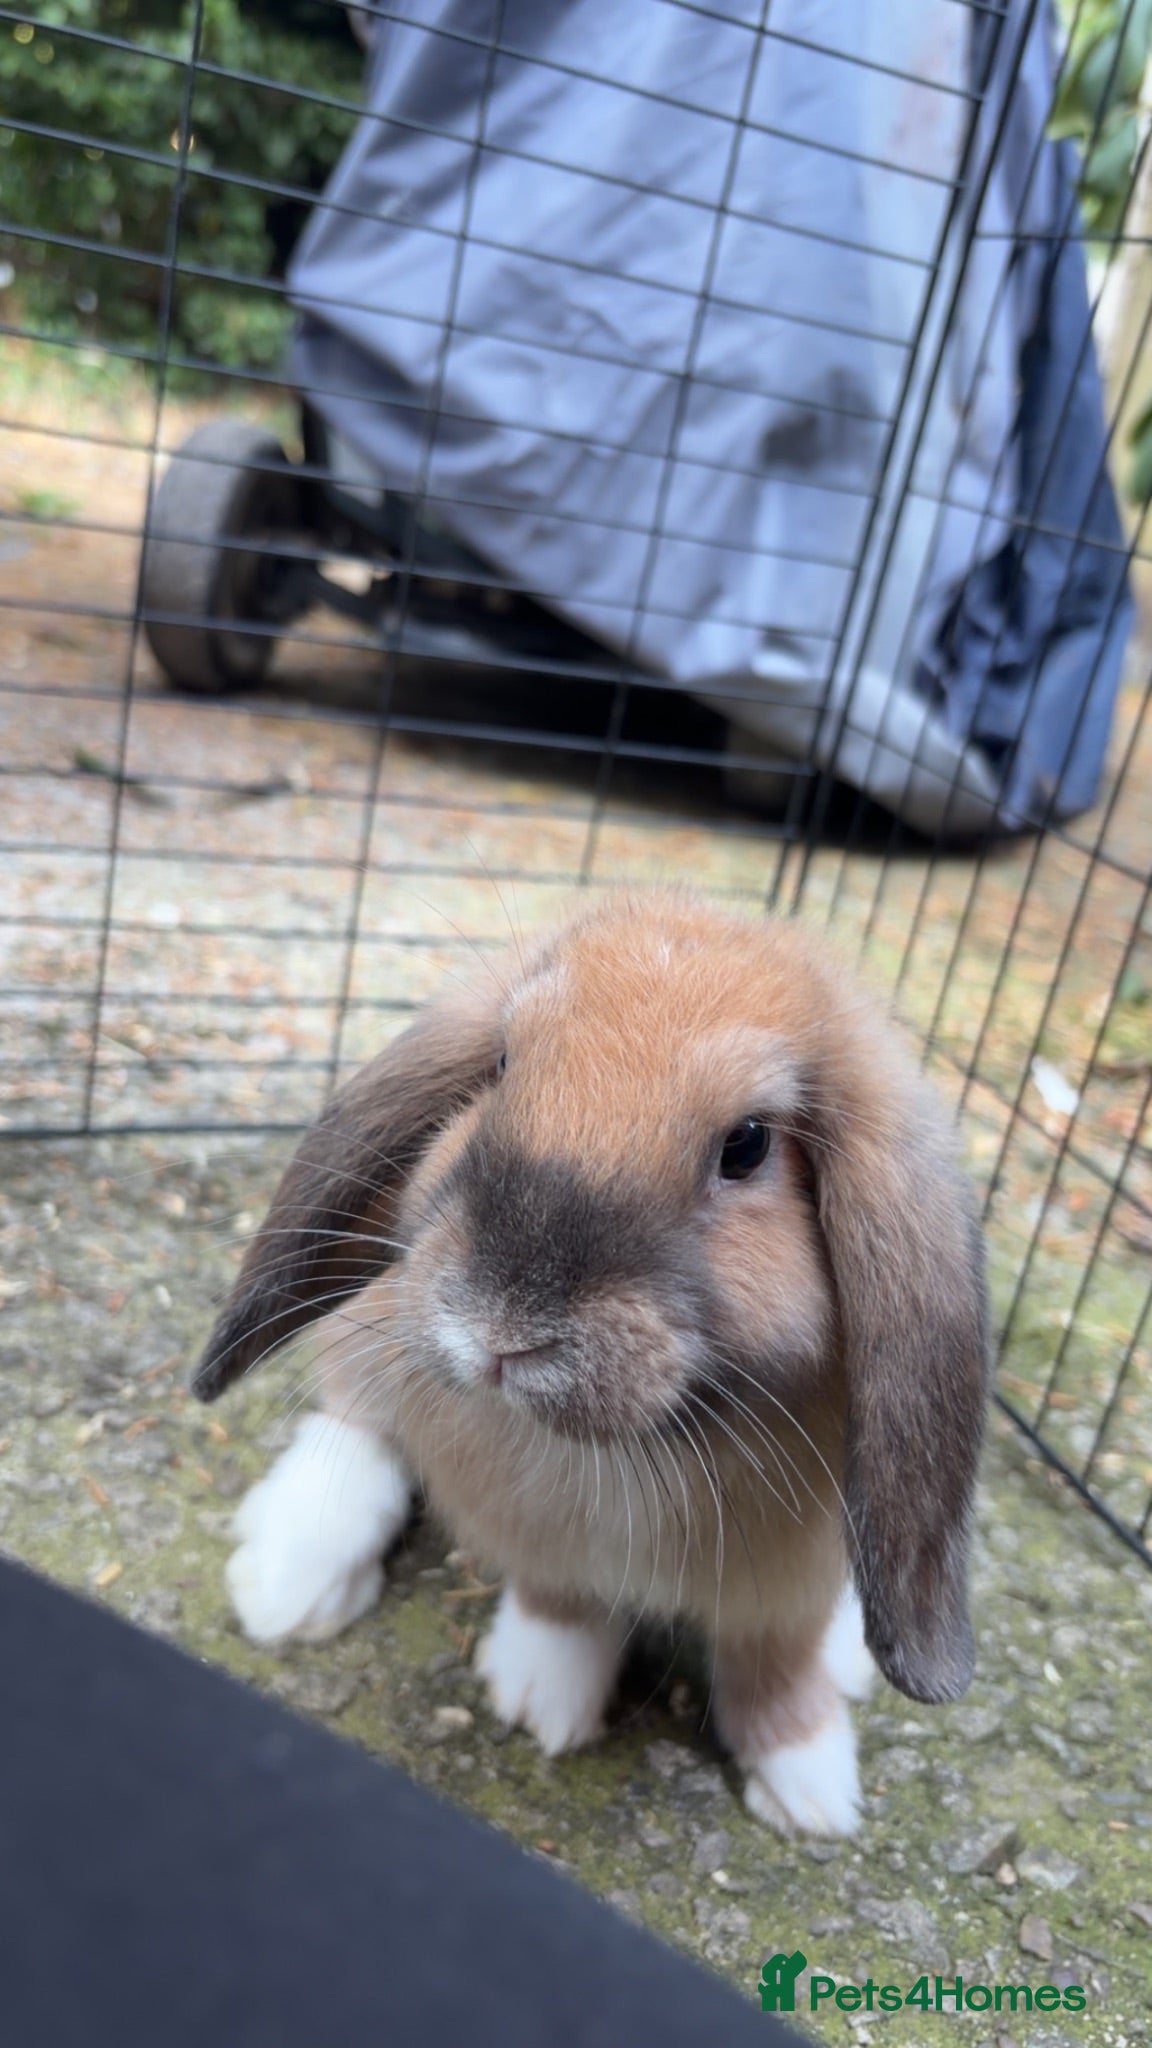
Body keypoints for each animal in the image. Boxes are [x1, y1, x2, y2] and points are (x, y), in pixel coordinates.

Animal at [192, 889, 990, 1837]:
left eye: (749, 1144)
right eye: (502, 1064)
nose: (501, 1323)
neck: (643, 1451)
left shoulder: (790, 1583)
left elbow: (777, 1663)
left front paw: (811, 1787)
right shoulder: (533, 1531)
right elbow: (559, 1601)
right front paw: (545, 1695)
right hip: (375, 1324)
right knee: (357, 1416)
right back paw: (291, 1580)